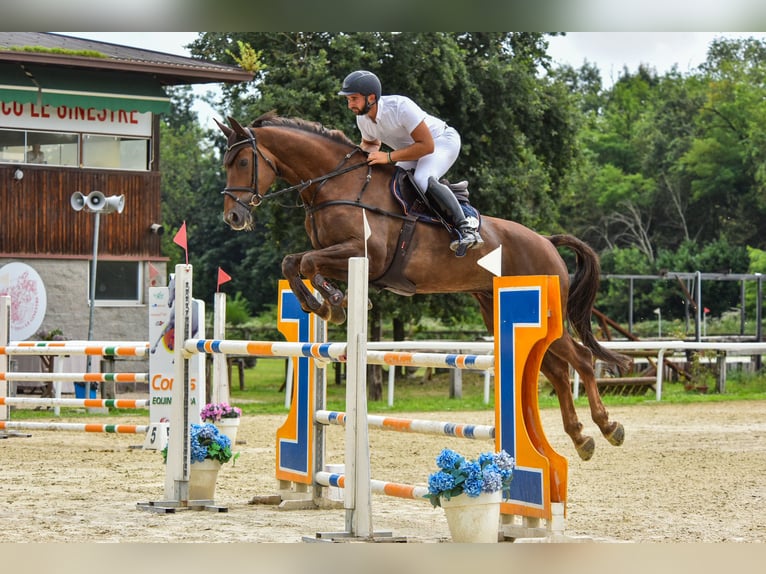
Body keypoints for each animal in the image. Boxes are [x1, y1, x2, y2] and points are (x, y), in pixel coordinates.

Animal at [216, 112, 632, 464]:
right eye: (226, 164)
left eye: (242, 163)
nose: (233, 217)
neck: (336, 183)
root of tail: (546, 240)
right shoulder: (333, 252)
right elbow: (294, 262)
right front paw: (329, 303)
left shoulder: (366, 254)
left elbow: (303, 263)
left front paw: (332, 303)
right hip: (497, 311)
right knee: (559, 371)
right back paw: (581, 437)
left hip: (544, 312)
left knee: (582, 360)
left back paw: (607, 427)